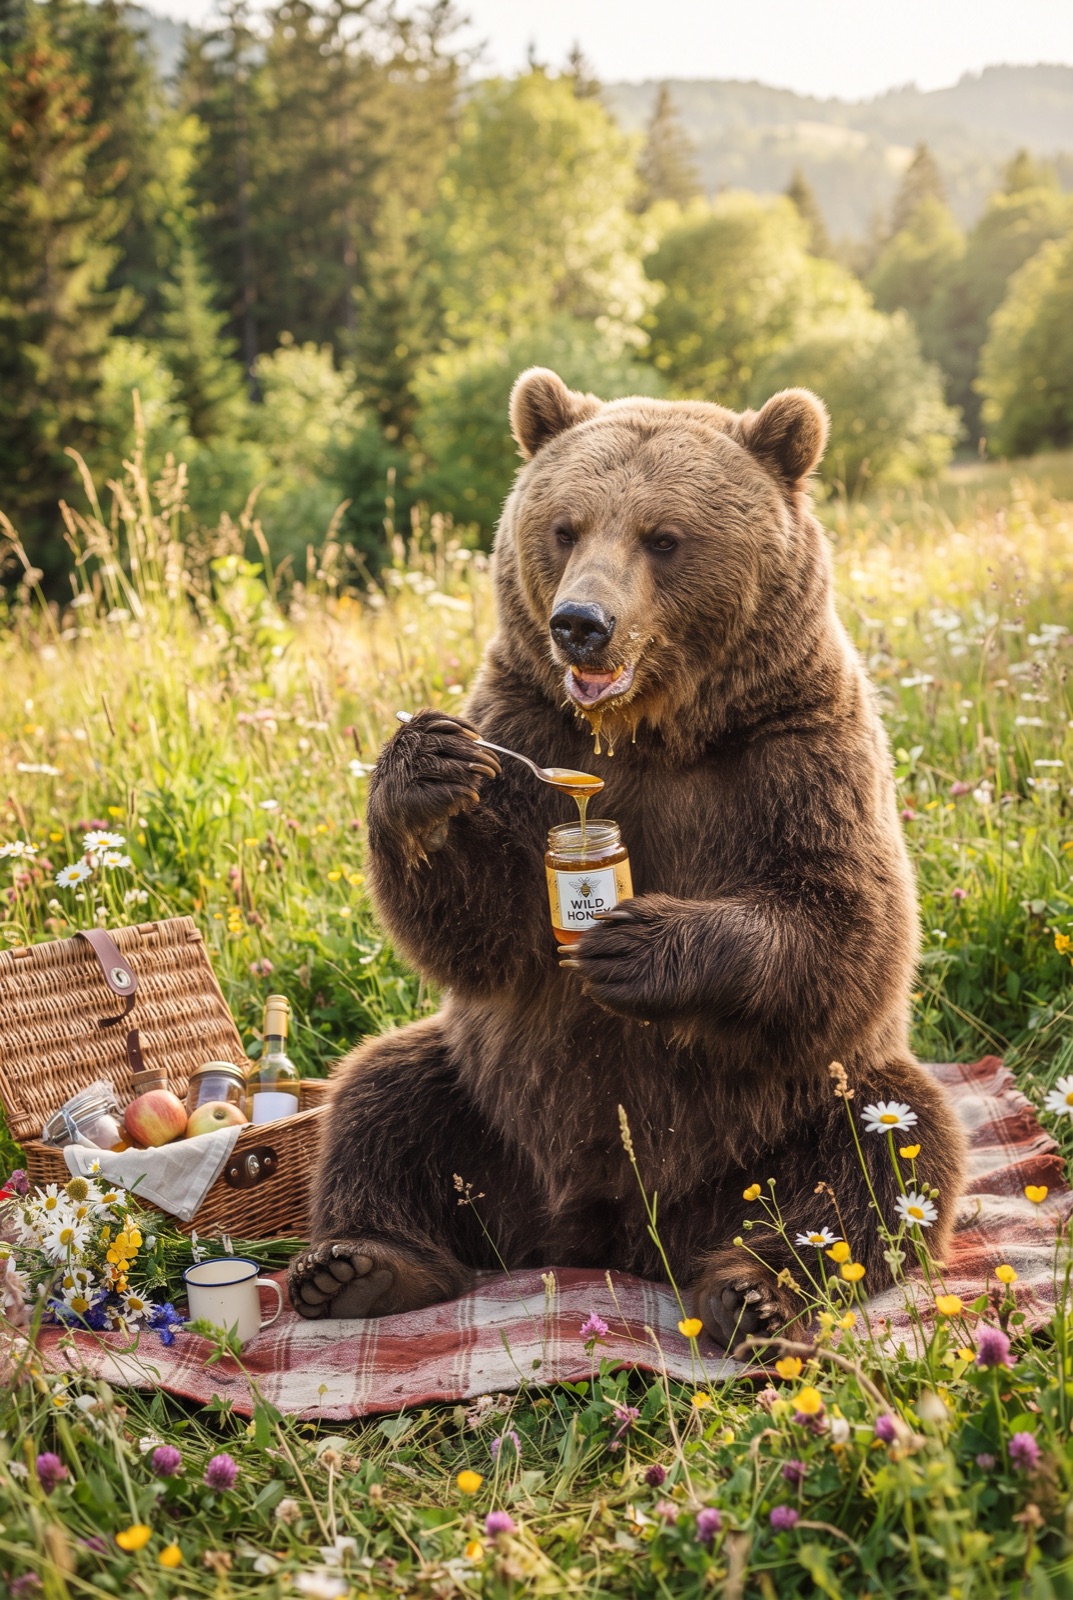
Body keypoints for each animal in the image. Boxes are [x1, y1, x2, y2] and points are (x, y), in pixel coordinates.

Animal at [287, 369, 966, 1350]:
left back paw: (757, 1290)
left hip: (784, 1118)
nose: (580, 623)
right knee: (382, 1098)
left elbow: (847, 923)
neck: (651, 730)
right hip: (488, 1109)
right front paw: (424, 771)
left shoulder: (796, 748)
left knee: (885, 1152)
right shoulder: (526, 727)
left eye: (664, 536)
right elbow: (484, 935)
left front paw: (634, 945)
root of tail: (610, 1236)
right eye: (564, 526)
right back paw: (358, 1266)